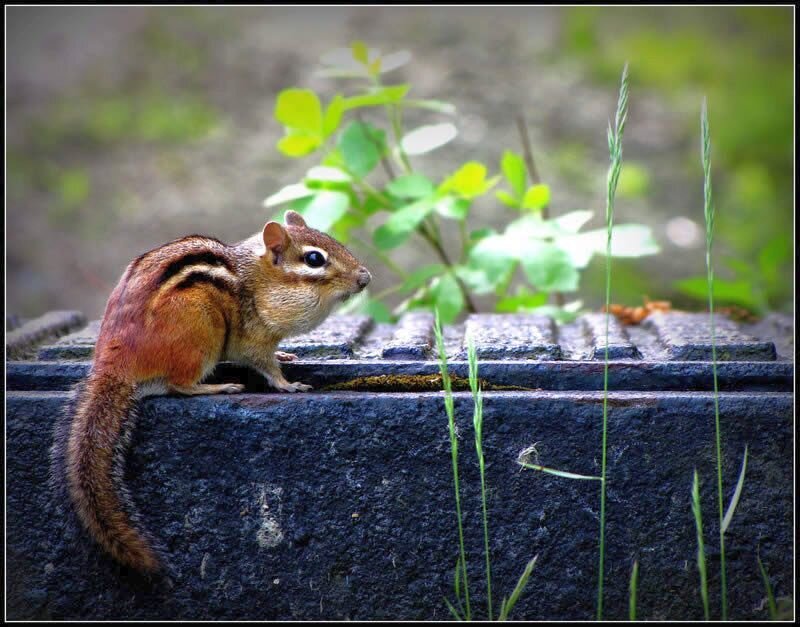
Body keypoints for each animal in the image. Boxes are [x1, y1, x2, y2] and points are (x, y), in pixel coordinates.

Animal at [51, 210, 371, 575]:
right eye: (314, 259)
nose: (365, 277)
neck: (259, 283)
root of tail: (114, 366)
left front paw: (286, 356)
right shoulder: (253, 337)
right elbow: (264, 364)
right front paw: (288, 384)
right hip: (201, 332)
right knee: (179, 385)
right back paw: (220, 385)